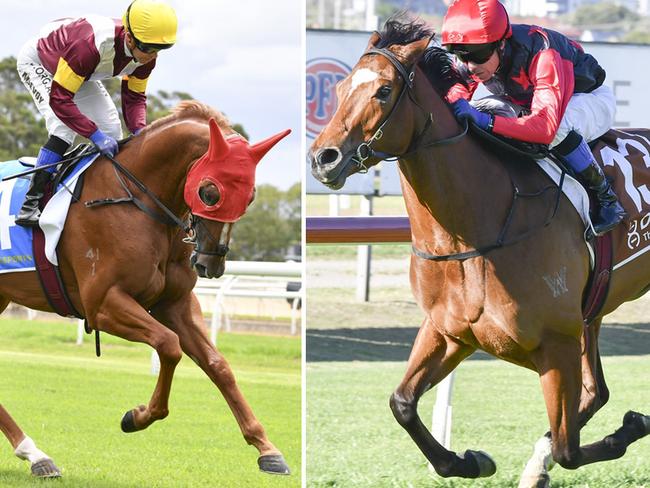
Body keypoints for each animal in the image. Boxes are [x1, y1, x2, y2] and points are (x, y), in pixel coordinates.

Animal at [0, 99, 290, 476]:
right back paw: (33, 452)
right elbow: (169, 346)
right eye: (209, 192)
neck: (135, 198)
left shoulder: (175, 304)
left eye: (250, 196)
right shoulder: (103, 304)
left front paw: (266, 448)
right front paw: (138, 416)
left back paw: (36, 455)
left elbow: (218, 364)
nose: (212, 264)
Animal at [308, 17, 648, 486]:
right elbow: (402, 403)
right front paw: (470, 461)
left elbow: (569, 450)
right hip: (590, 313)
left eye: (383, 91)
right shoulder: (449, 332)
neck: (472, 233)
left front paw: (633, 425)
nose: (322, 158)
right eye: (339, 88)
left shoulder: (556, 344)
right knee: (595, 393)